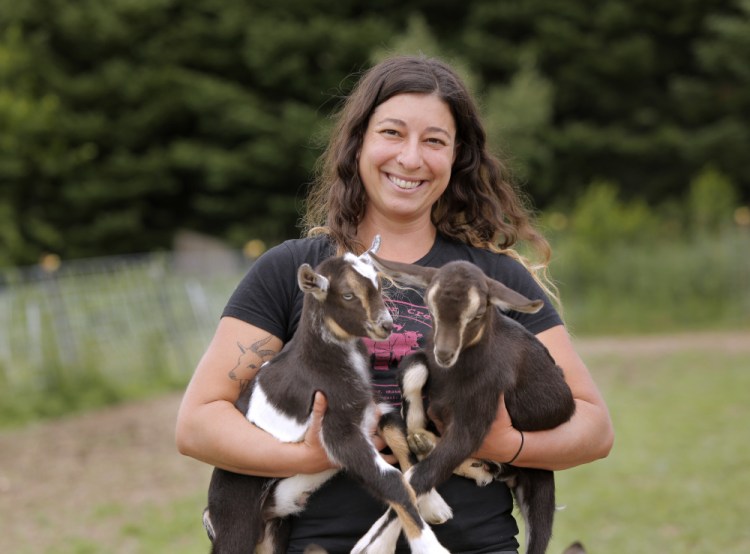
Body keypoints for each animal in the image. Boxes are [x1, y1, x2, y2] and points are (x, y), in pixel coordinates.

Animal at [201, 239, 452, 552]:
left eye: (379, 285)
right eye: (347, 295)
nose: (386, 325)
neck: (321, 361)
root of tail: (211, 513)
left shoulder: (372, 411)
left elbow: (399, 438)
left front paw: (433, 504)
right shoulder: (339, 433)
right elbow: (393, 481)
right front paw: (429, 545)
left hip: (272, 530)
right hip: (237, 519)